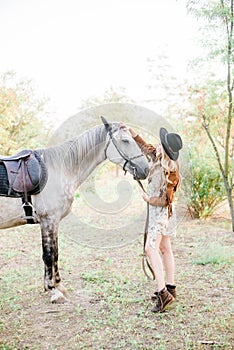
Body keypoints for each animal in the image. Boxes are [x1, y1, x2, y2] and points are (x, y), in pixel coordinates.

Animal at [0, 117, 150, 304]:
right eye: (125, 140)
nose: (146, 169)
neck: (58, 170)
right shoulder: (48, 220)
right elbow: (48, 255)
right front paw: (53, 291)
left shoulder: (53, 222)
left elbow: (55, 253)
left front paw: (58, 285)